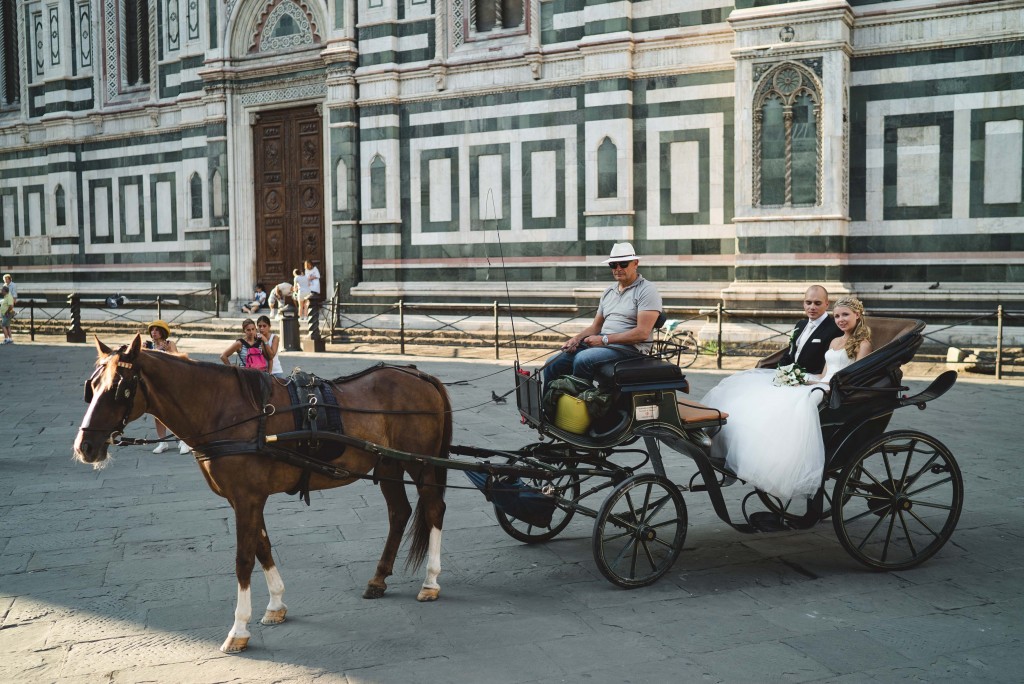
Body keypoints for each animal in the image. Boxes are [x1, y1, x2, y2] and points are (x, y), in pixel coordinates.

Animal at [74, 333, 450, 655]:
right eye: (91, 387)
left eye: (119, 388)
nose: (85, 447)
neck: (225, 409)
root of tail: (420, 374)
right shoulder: (246, 498)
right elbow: (262, 547)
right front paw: (276, 605)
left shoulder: (247, 498)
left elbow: (243, 559)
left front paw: (239, 630)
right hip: (389, 463)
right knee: (399, 513)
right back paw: (378, 579)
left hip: (420, 464)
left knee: (434, 509)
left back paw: (431, 582)